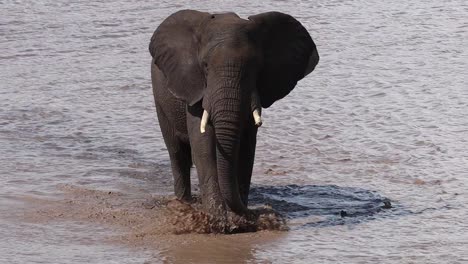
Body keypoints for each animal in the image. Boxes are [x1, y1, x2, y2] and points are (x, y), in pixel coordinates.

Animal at [149, 9, 318, 218]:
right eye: (205, 66)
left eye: (256, 67)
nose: (261, 210)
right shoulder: (196, 86)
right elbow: (202, 142)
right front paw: (217, 218)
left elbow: (247, 147)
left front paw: (238, 217)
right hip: (160, 99)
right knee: (176, 152)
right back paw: (184, 202)